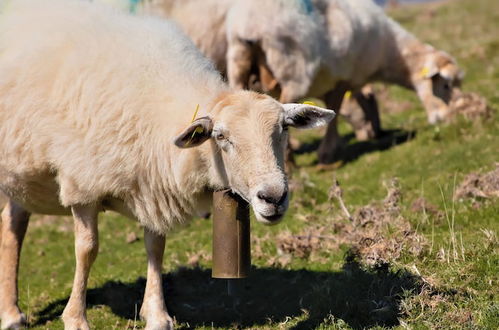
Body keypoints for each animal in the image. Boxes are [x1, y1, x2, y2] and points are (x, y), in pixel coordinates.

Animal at [0, 1, 336, 328]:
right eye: (221, 137)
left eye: (284, 129)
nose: (274, 197)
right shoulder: (82, 185)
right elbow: (87, 249)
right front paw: (76, 319)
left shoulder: (153, 185)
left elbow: (155, 247)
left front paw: (157, 314)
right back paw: (12, 314)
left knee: (13, 225)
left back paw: (12, 311)